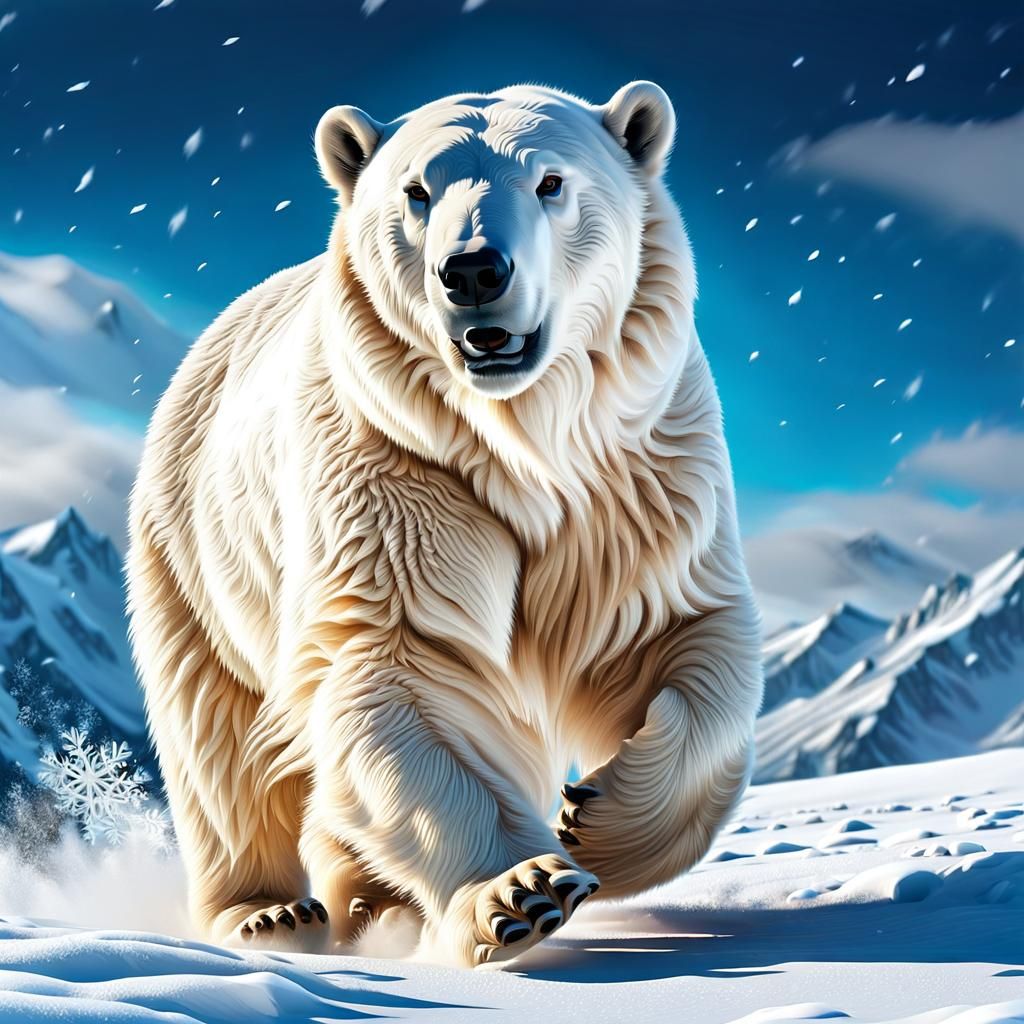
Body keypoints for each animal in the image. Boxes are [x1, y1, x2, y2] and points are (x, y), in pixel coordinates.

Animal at [127, 81, 763, 968]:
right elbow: (406, 665)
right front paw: (522, 890)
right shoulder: (397, 462)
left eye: (551, 180)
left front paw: (596, 821)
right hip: (190, 556)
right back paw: (272, 913)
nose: (473, 269)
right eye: (417, 191)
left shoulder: (635, 480)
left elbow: (680, 640)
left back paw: (371, 904)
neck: (524, 438)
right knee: (219, 744)